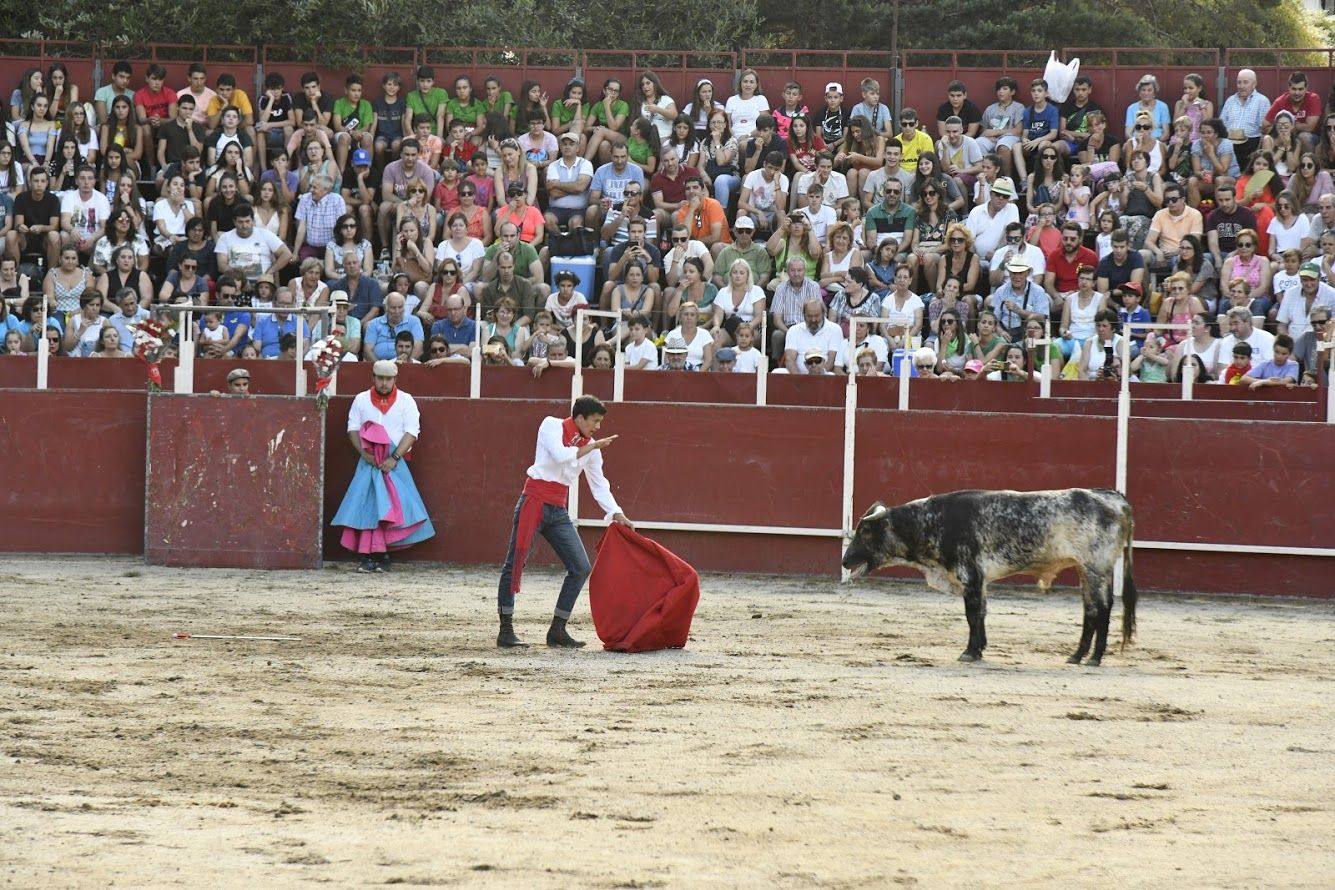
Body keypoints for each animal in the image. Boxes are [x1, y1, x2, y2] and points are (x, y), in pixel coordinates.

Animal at [838, 491, 1132, 664]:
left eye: (865, 531)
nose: (844, 560)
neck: (930, 522)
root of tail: (1114, 498)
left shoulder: (970, 576)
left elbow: (972, 614)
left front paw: (969, 652)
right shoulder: (979, 581)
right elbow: (980, 614)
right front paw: (979, 650)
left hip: (1095, 568)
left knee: (1101, 608)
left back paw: (1093, 657)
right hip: (1087, 570)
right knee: (1092, 609)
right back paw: (1078, 656)